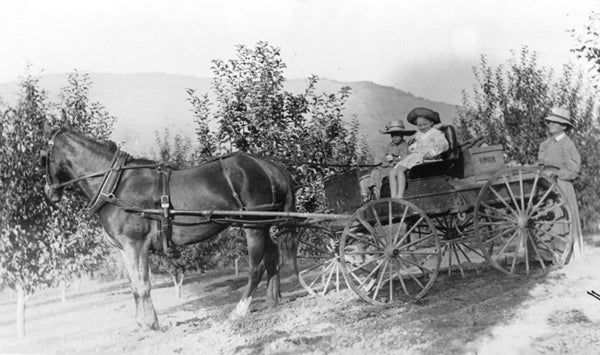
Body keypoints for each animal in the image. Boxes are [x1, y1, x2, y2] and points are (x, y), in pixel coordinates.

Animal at [41, 125, 296, 330]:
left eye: (43, 155)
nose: (49, 193)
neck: (115, 185)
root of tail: (267, 165)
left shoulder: (136, 244)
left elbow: (143, 284)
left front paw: (151, 323)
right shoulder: (123, 248)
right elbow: (133, 285)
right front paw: (141, 322)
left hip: (252, 225)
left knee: (256, 268)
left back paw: (239, 311)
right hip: (264, 224)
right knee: (273, 259)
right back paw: (273, 300)